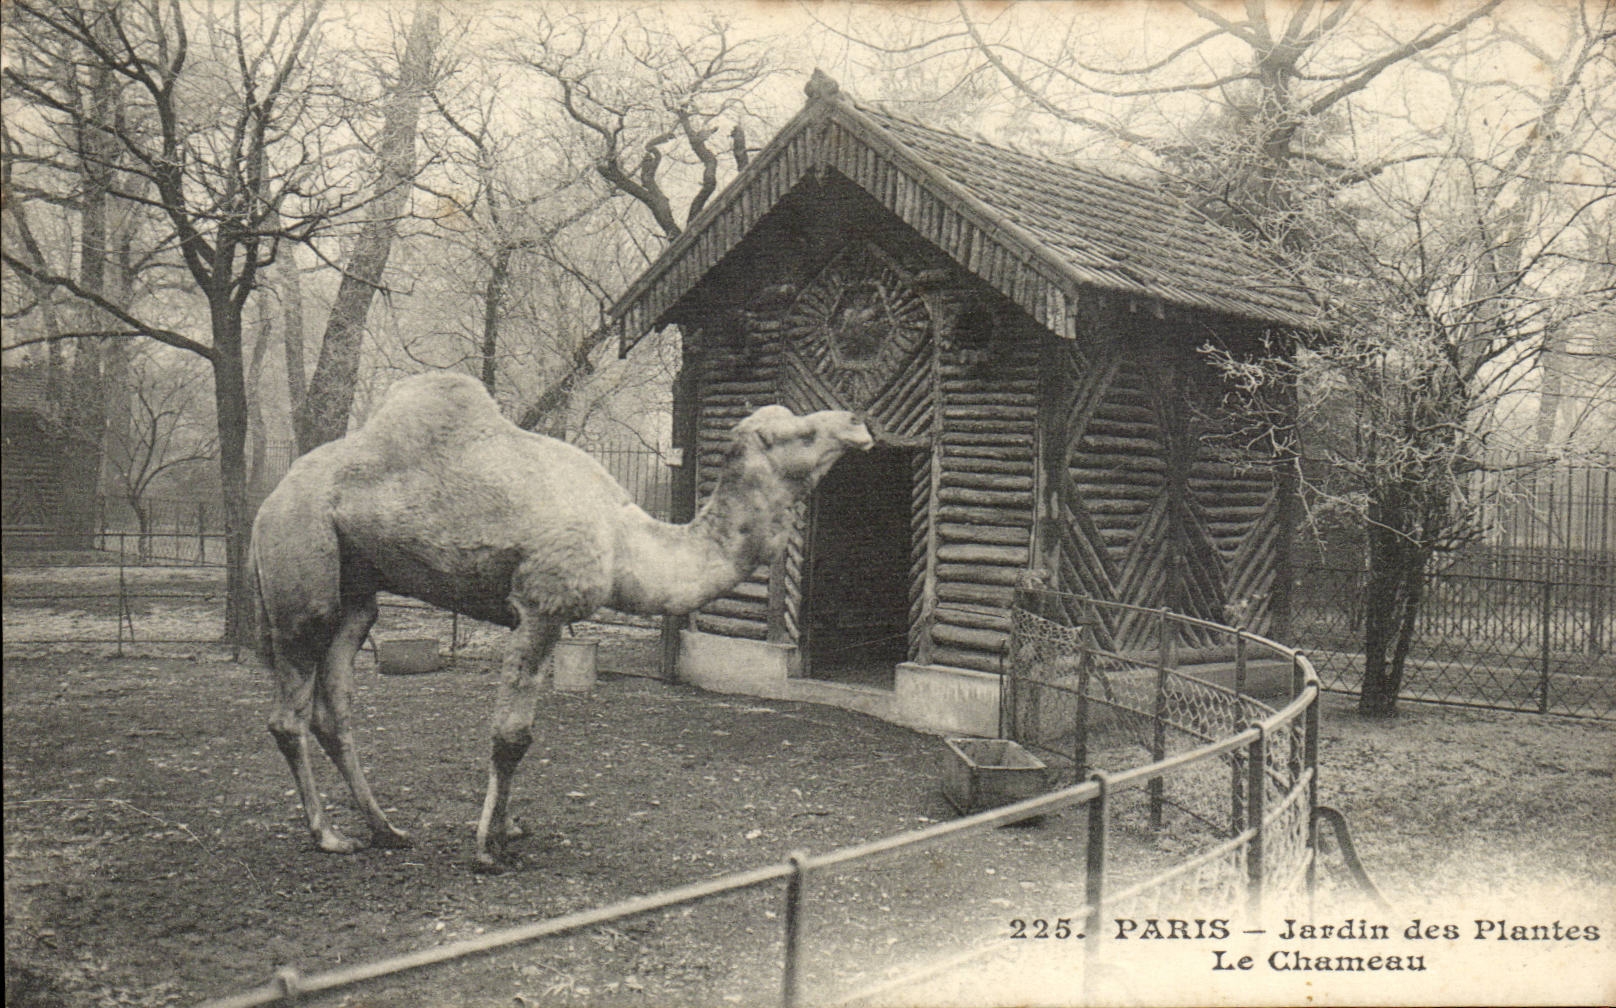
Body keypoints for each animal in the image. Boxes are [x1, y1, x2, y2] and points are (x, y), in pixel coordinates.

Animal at [250, 371, 872, 871]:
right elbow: (512, 733)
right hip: (301, 574)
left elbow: (520, 731)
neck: (625, 542)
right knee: (288, 713)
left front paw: (508, 826)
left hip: (357, 593)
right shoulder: (542, 604)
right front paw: (487, 849)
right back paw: (328, 836)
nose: (857, 421)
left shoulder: (539, 615)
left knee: (335, 709)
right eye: (797, 433)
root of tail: (267, 502)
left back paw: (387, 830)